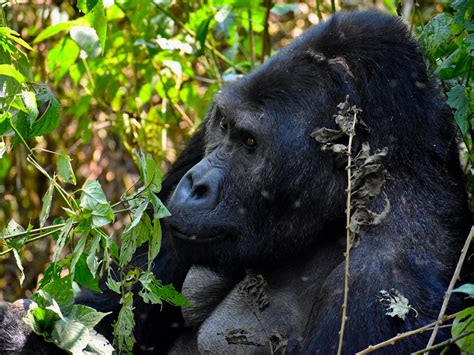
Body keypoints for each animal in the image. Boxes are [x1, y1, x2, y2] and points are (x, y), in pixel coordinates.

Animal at [0, 11, 472, 355]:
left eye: (249, 143)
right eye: (224, 126)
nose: (194, 184)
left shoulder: (386, 288)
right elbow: (109, 316)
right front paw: (18, 326)